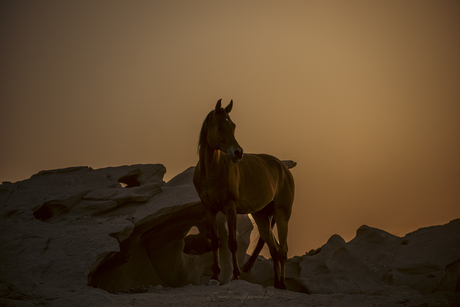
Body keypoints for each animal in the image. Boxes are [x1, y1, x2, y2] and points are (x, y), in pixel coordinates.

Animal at [191, 99, 294, 292]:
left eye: (233, 126)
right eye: (219, 127)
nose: (238, 153)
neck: (210, 171)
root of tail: (283, 168)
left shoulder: (230, 207)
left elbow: (232, 242)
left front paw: (236, 275)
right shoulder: (208, 208)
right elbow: (215, 241)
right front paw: (214, 277)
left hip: (282, 214)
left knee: (283, 250)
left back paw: (283, 284)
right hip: (261, 216)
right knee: (274, 248)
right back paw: (277, 284)